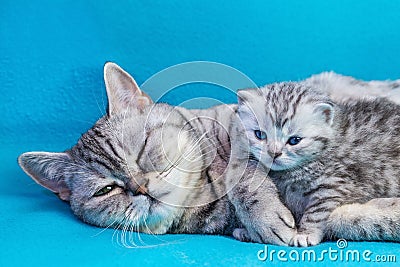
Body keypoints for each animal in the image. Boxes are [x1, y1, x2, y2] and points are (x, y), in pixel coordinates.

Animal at [234, 82, 400, 248]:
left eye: (294, 140)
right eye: (259, 134)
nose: (274, 153)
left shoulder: (334, 184)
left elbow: (317, 212)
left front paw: (306, 234)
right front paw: (248, 231)